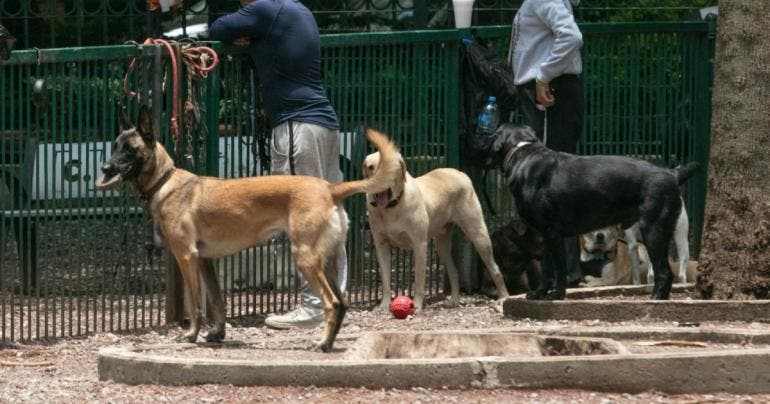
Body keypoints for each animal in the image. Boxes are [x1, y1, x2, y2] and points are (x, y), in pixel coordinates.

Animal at [96, 104, 402, 350]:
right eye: (115, 145)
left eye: (130, 149)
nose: (105, 168)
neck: (165, 181)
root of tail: (330, 188)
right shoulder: (205, 261)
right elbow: (217, 302)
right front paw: (217, 334)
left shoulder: (186, 257)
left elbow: (194, 303)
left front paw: (192, 334)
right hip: (324, 260)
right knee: (342, 303)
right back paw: (329, 341)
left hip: (305, 258)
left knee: (332, 303)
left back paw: (323, 344)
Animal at [362, 152, 508, 310]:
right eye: (371, 167)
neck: (392, 207)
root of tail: (460, 173)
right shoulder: (381, 246)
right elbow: (385, 279)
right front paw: (384, 305)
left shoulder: (419, 245)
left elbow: (419, 281)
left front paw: (417, 305)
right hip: (442, 246)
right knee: (454, 271)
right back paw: (454, 300)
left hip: (479, 235)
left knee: (495, 269)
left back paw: (504, 297)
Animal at [486, 124, 696, 302]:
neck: (522, 151)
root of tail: (672, 174)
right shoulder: (544, 237)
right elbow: (546, 270)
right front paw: (539, 294)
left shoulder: (553, 233)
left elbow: (558, 270)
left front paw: (557, 294)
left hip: (654, 232)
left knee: (665, 272)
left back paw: (656, 298)